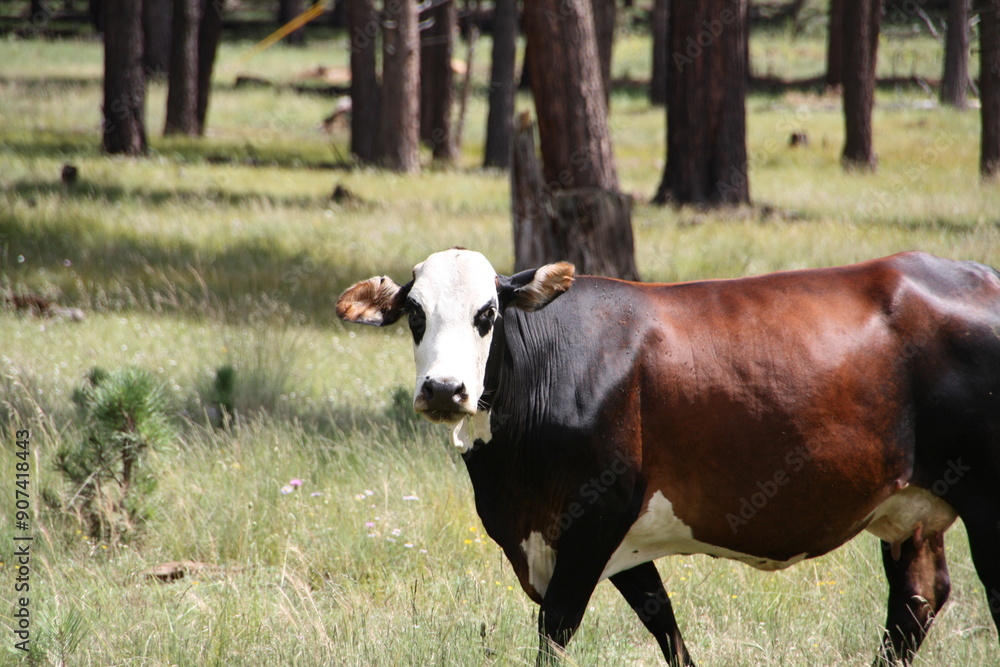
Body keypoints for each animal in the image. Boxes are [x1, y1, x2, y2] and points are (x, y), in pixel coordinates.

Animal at [336, 248, 1000, 666]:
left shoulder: (593, 518)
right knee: (915, 602)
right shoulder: (611, 541)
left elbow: (556, 632)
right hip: (913, 512)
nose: (444, 390)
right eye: (415, 313)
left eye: (487, 314)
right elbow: (665, 624)